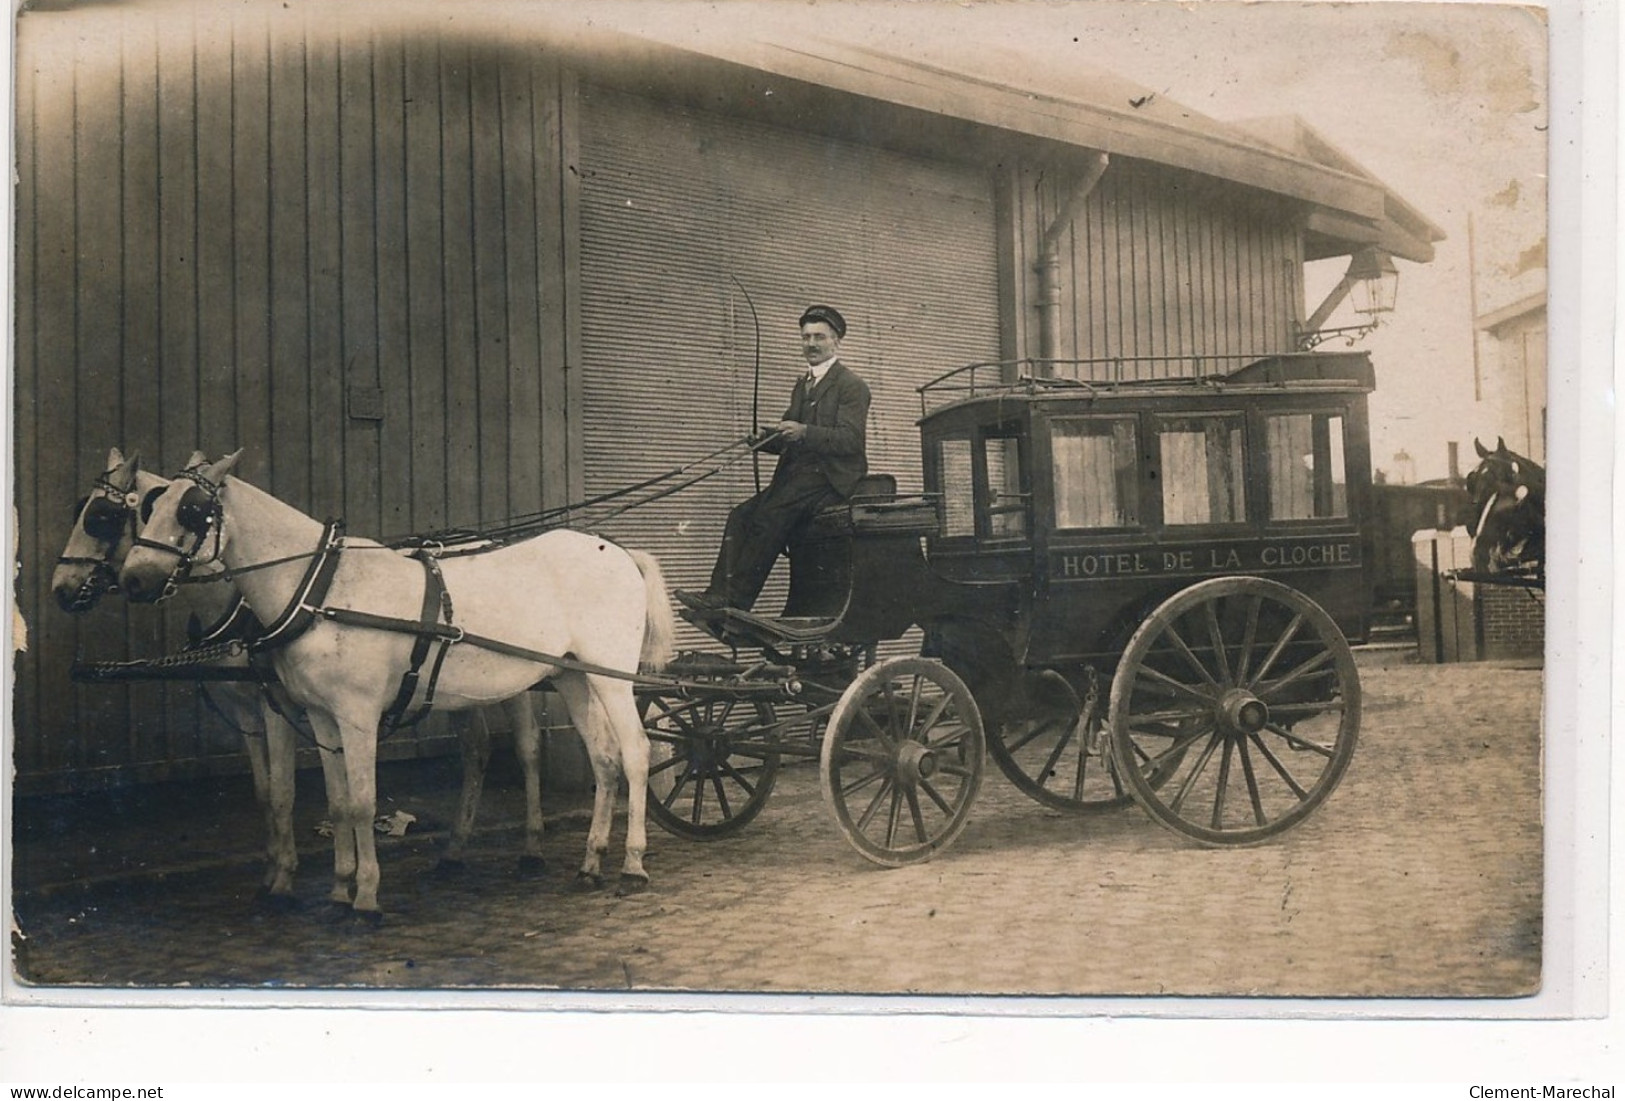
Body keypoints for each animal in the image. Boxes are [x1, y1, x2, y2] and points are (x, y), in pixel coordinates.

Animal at [54, 444, 549, 902]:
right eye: (148, 510)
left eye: (103, 517)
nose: (62, 590)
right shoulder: (250, 710)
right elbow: (267, 791)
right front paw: (276, 869)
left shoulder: (279, 705)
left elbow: (285, 792)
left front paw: (287, 877)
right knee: (476, 750)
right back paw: (454, 850)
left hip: (513, 682)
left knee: (526, 751)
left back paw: (531, 847)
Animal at [117, 448, 669, 922]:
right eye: (152, 505)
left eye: (192, 511)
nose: (134, 579)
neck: (323, 589)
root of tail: (618, 552)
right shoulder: (322, 718)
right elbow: (338, 803)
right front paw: (339, 891)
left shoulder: (357, 715)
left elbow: (363, 800)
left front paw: (366, 898)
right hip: (572, 675)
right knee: (604, 759)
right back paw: (590, 864)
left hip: (610, 676)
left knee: (635, 752)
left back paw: (632, 864)